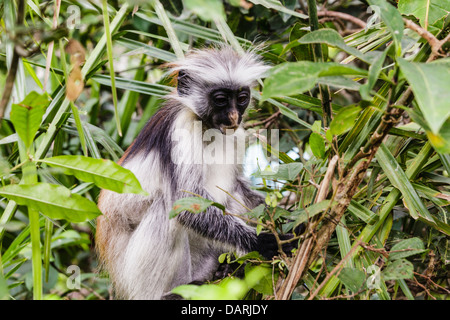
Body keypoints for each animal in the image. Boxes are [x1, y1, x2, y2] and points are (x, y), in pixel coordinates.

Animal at [95, 45, 296, 300]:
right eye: (220, 100)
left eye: (242, 99)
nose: (233, 116)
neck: (208, 127)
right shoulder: (182, 127)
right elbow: (186, 206)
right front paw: (262, 242)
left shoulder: (237, 134)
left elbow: (238, 185)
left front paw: (290, 217)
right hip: (134, 274)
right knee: (167, 208)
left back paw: (227, 268)